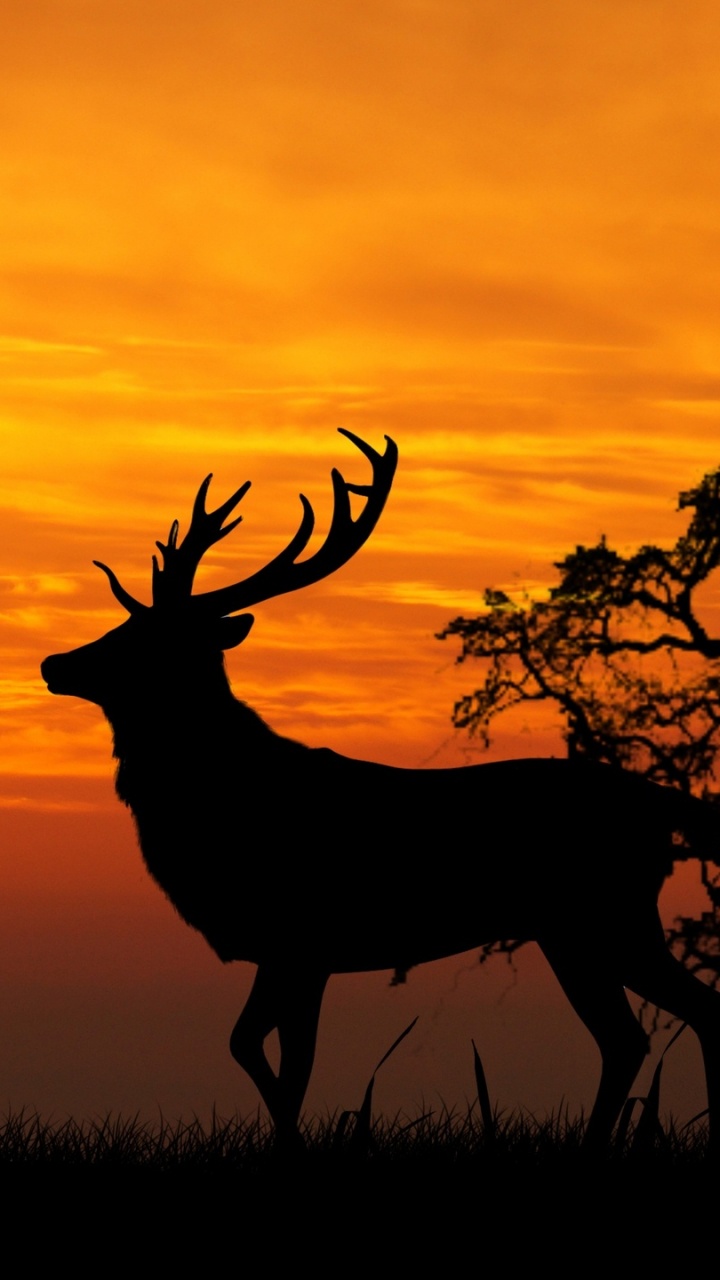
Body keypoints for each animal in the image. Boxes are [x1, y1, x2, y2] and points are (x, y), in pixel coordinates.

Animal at [41, 429, 720, 1152]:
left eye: (144, 637)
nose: (54, 663)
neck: (221, 802)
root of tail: (661, 803)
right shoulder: (287, 952)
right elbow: (261, 1052)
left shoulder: (303, 939)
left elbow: (277, 1061)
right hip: (577, 929)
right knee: (635, 1035)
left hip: (605, 914)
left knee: (670, 1019)